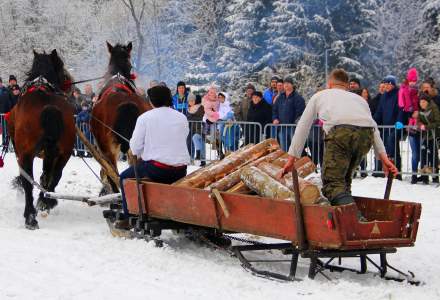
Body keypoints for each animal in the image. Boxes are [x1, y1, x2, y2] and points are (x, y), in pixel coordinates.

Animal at [7, 50, 75, 230]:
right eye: (62, 67)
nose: (71, 85)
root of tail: (48, 107)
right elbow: (48, 175)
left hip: (27, 153)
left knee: (28, 181)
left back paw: (31, 215)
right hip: (63, 152)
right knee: (54, 175)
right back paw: (45, 202)